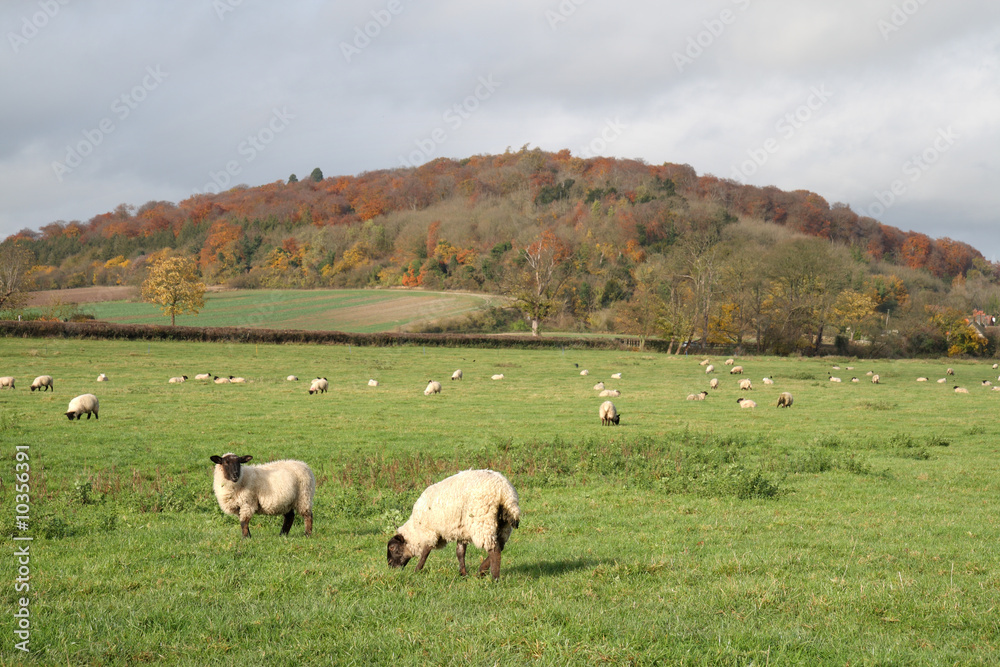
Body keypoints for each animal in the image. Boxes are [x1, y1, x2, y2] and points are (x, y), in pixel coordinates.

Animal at [387, 469, 520, 581]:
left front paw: (417, 570)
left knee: (494, 549)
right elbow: (460, 552)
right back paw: (481, 572)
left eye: (392, 547)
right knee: (500, 545)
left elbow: (425, 552)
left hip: (482, 520)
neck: (415, 530)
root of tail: (505, 493)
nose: (390, 567)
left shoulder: (430, 531)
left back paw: (494, 578)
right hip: (503, 525)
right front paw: (463, 574)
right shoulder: (461, 532)